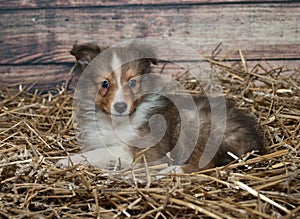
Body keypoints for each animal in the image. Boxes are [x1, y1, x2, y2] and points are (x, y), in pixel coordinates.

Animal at [57, 42, 266, 173]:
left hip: (196, 124)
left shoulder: (145, 150)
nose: (120, 106)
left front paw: (66, 159)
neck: (117, 123)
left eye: (132, 82)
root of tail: (254, 141)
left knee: (204, 165)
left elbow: (103, 151)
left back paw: (170, 171)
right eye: (105, 84)